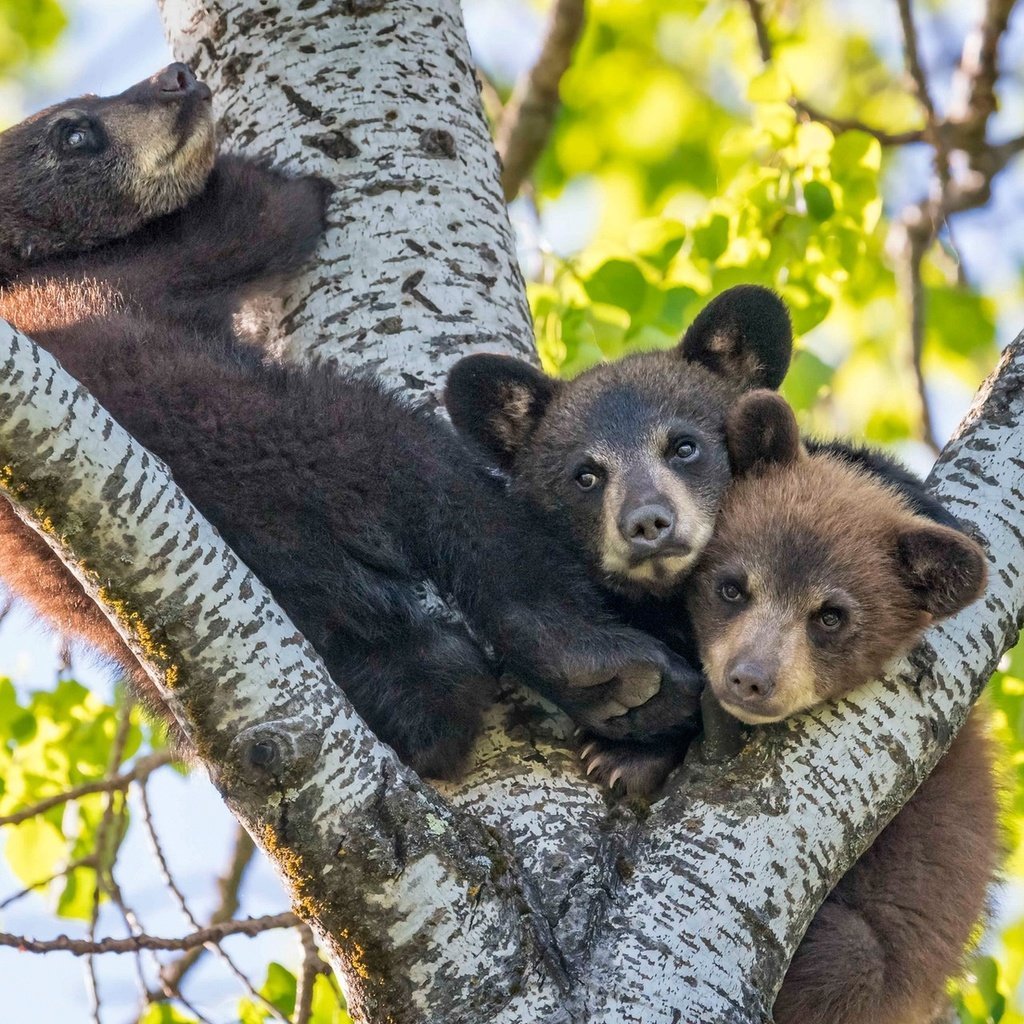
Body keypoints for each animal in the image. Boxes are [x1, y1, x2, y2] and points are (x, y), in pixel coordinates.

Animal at [0, 66, 704, 774]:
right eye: (75, 132)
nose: (172, 78)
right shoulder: (162, 259)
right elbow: (271, 208)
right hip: (313, 434)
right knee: (458, 501)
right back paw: (600, 666)